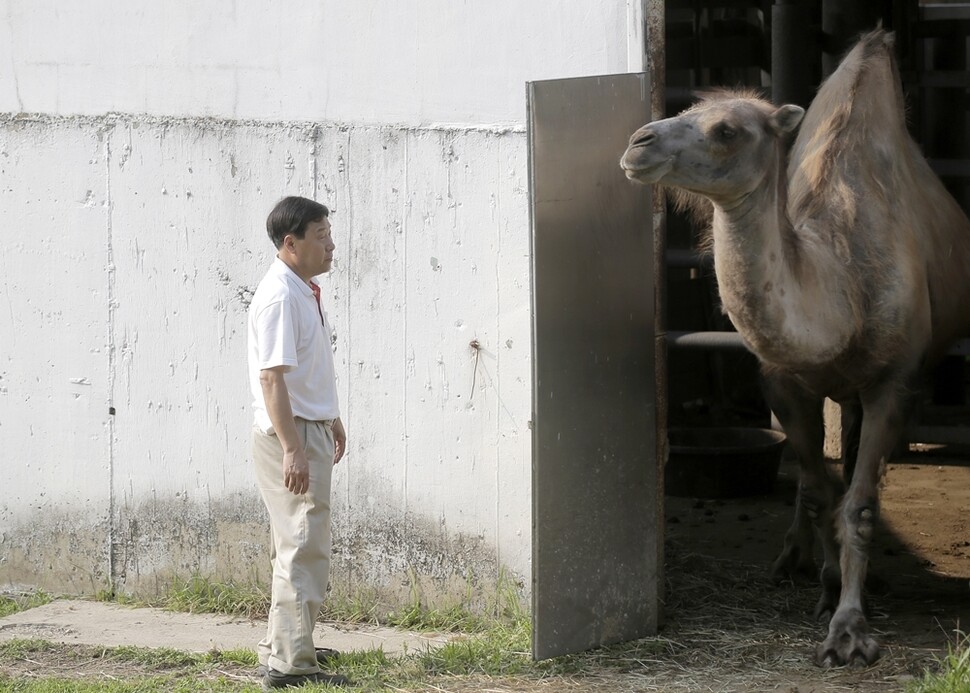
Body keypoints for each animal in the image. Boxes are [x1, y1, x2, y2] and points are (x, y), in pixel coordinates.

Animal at [620, 29, 968, 668]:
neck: (843, 285)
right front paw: (827, 588)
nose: (638, 142)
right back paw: (792, 561)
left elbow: (858, 505)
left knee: (856, 466)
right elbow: (818, 492)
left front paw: (849, 630)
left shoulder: (896, 383)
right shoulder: (782, 381)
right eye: (687, 107)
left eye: (727, 129)